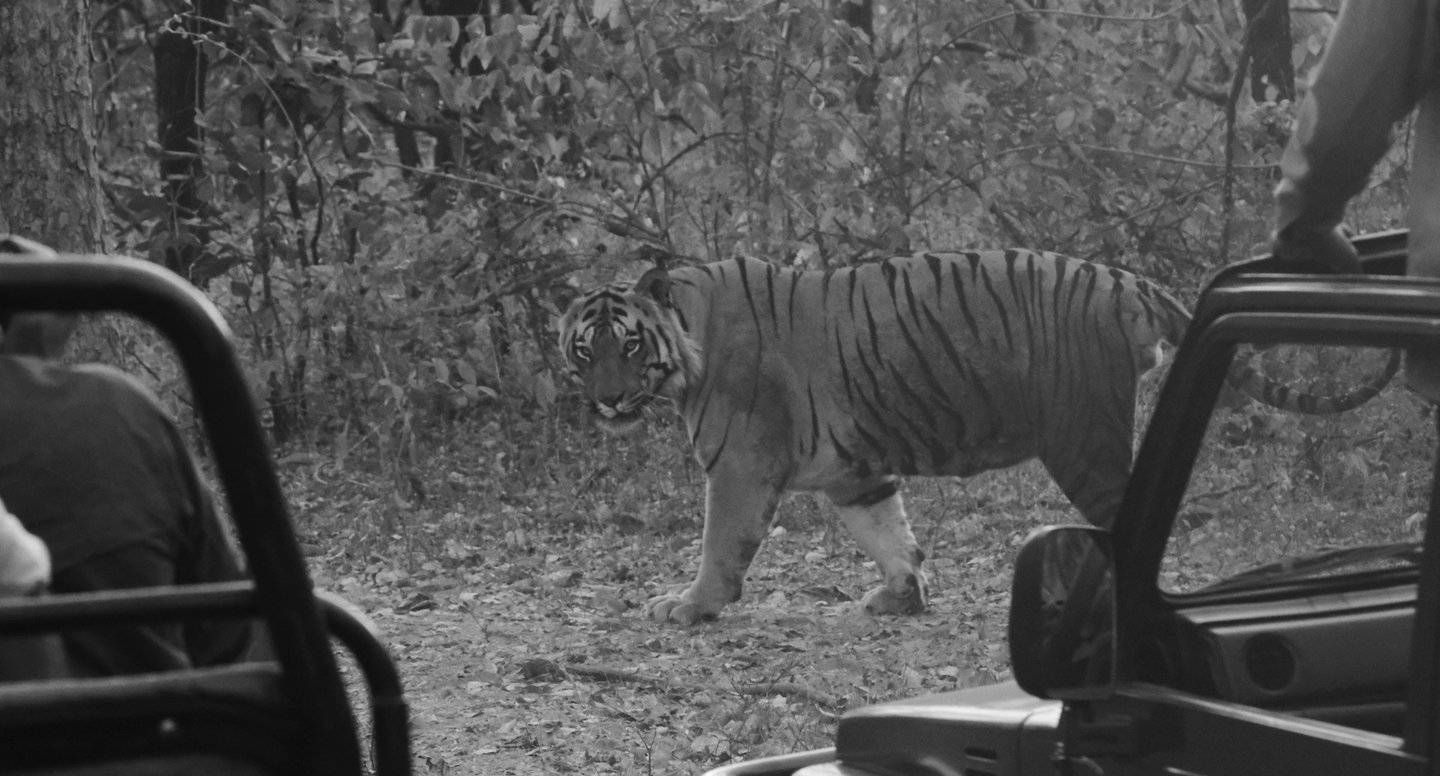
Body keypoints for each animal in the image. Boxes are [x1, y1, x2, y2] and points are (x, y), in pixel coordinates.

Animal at [556, 250, 1399, 625]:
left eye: (627, 345)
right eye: (583, 349)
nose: (606, 401)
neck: (686, 345)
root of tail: (1121, 277)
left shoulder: (739, 464)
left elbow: (719, 543)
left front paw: (688, 605)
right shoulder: (853, 470)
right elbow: (889, 529)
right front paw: (900, 594)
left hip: (1081, 439)